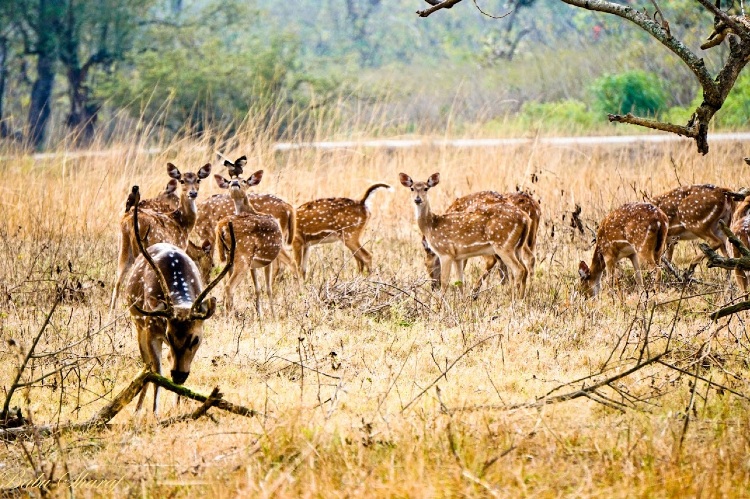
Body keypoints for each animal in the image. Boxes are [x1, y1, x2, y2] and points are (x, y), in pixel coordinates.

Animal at [110, 162, 213, 310]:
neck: (182, 224)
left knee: (117, 282)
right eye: (182, 180)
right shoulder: (178, 247)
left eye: (198, 180)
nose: (193, 193)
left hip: (123, 249)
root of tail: (128, 222)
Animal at [126, 187, 236, 414]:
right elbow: (156, 371)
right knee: (146, 365)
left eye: (195, 339)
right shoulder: (151, 328)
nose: (178, 375)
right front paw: (154, 412)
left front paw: (178, 405)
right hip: (138, 324)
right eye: (169, 334)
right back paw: (138, 408)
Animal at [214, 170, 284, 314]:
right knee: (229, 286)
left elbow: (257, 289)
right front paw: (273, 314)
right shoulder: (268, 260)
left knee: (223, 283)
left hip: (228, 257)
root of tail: (220, 226)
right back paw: (230, 316)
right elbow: (268, 288)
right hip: (243, 254)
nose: (234, 183)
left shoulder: (254, 265)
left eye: (244, 180)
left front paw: (259, 314)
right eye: (229, 181)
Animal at [400, 173, 536, 296]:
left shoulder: (446, 253)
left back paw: (514, 300)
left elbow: (445, 282)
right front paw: (462, 302)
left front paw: (439, 304)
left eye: (426, 188)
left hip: (503, 245)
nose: (417, 199)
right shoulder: (458, 257)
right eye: (412, 188)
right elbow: (460, 281)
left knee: (518, 269)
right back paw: (522, 298)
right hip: (517, 246)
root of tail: (526, 219)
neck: (431, 225)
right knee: (525, 266)